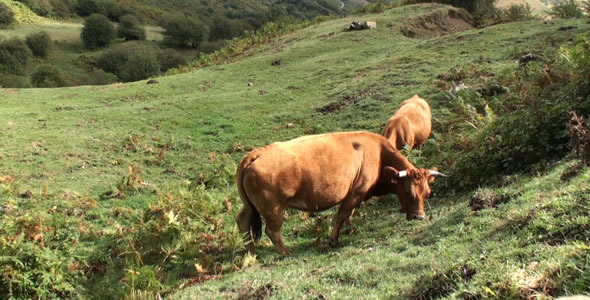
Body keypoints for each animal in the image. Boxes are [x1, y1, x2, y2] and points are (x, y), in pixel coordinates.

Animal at [235, 130, 444, 254]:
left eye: (427, 192)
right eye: (408, 192)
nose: (419, 216)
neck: (378, 153)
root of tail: (256, 153)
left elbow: (349, 214)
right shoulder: (356, 192)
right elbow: (342, 214)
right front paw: (333, 240)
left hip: (250, 205)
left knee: (243, 221)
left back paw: (252, 252)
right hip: (273, 207)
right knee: (272, 230)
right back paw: (285, 252)